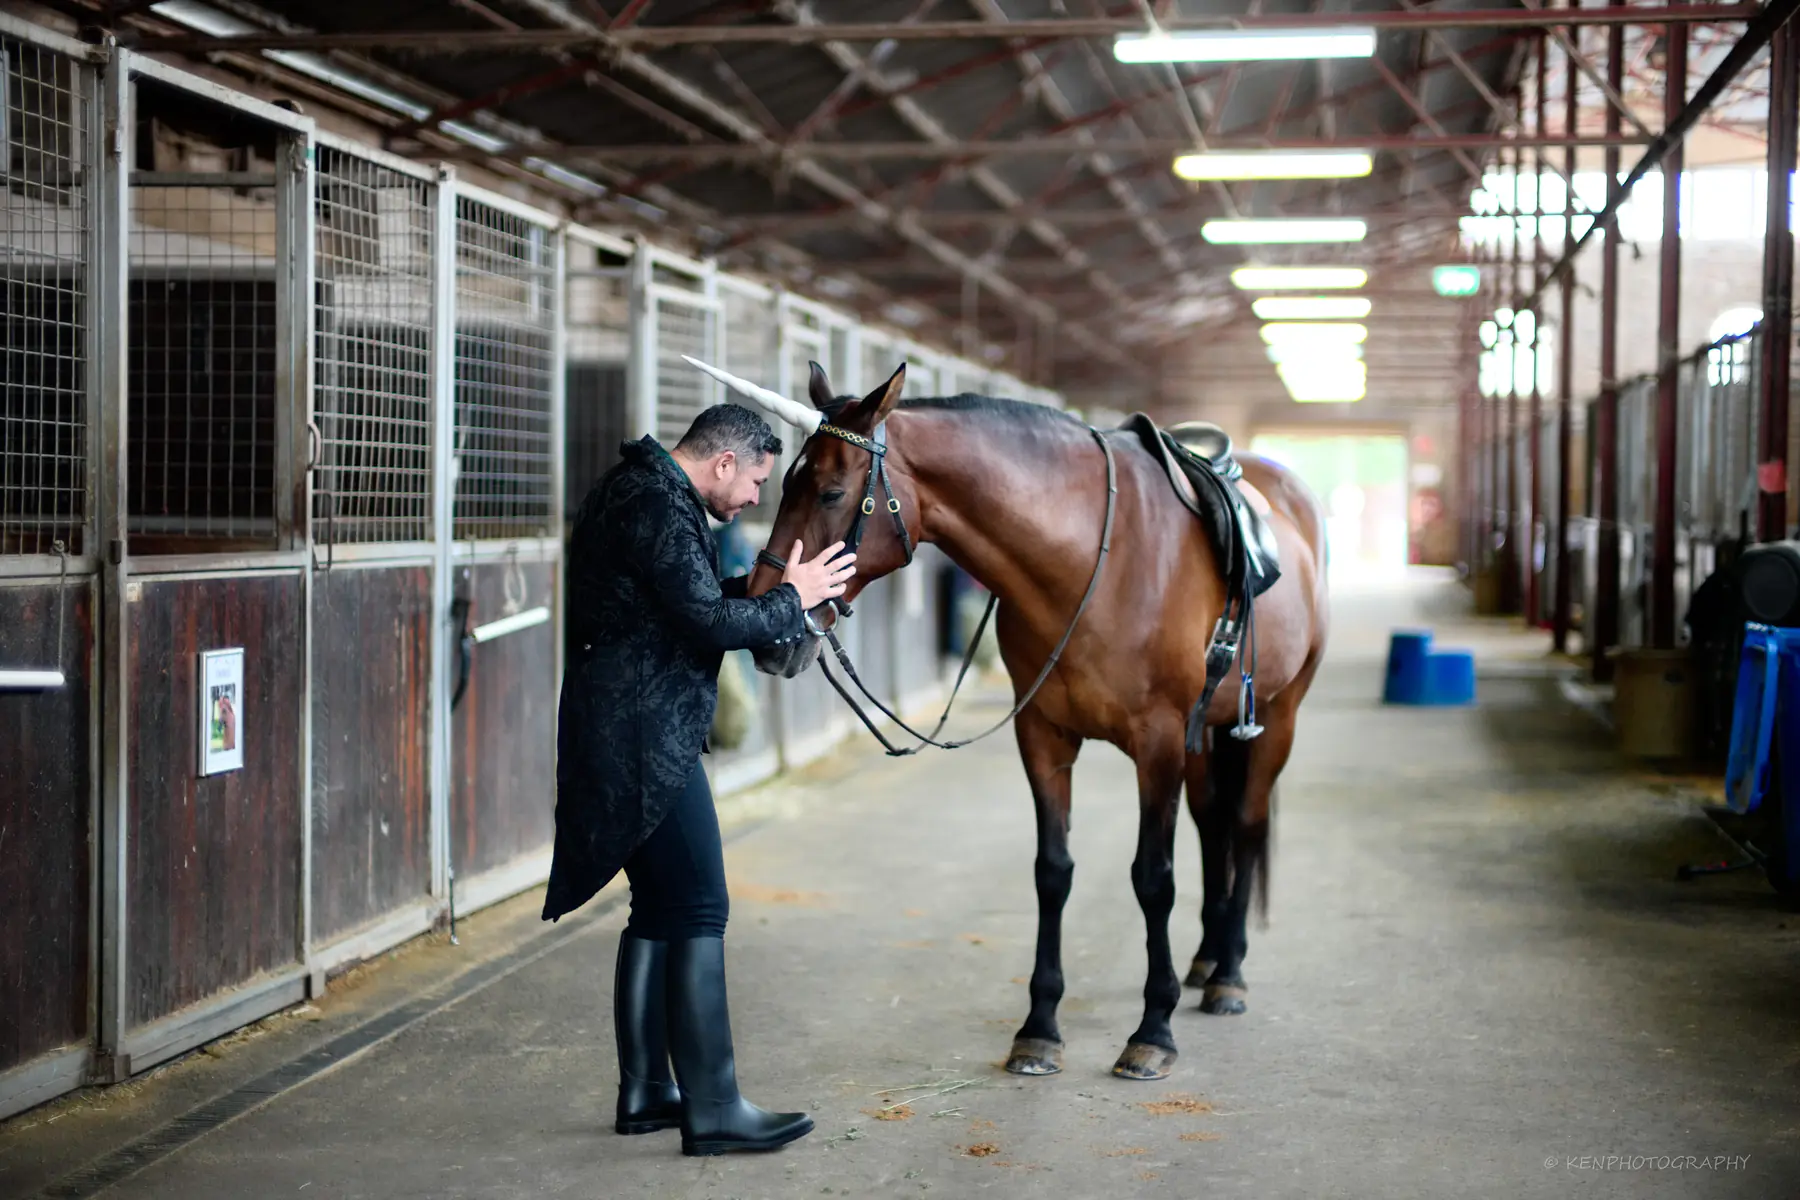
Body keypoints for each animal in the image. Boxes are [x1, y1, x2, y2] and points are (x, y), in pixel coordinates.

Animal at [689, 356, 1330, 1082]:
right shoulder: (1044, 736)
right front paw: (1039, 1029)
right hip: (1206, 735)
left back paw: (1228, 976)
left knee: (1245, 825)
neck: (1096, 558)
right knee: (1214, 824)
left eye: (829, 492)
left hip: (1276, 716)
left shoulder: (1159, 743)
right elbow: (1052, 872)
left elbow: (1152, 879)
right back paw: (1205, 961)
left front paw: (1152, 1032)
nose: (772, 631)